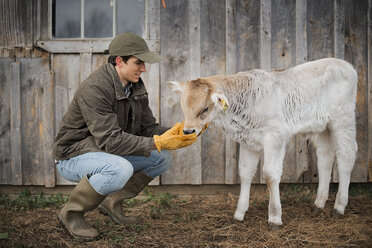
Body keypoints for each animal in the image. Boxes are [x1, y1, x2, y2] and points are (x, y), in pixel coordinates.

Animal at [169, 58, 358, 229]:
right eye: (183, 107)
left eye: (205, 109)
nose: (188, 131)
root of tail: (344, 64)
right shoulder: (248, 141)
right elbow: (245, 172)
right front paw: (239, 214)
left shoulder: (275, 137)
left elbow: (269, 175)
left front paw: (274, 217)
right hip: (324, 127)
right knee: (325, 158)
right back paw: (318, 204)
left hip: (343, 120)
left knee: (346, 157)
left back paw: (339, 207)